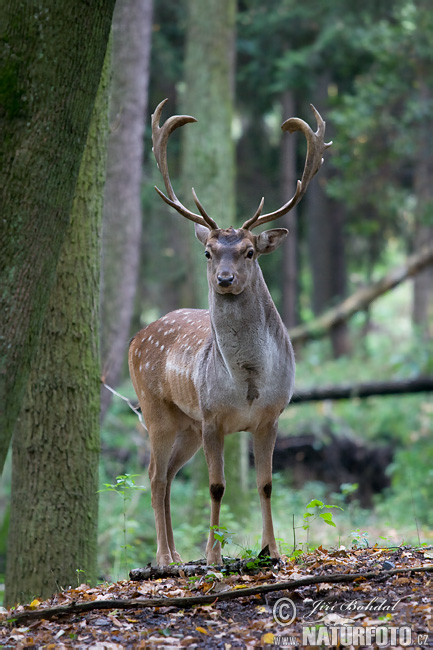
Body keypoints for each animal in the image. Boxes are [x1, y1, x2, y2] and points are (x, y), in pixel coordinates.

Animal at [128, 97, 330, 560]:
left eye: (250, 251)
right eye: (208, 251)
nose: (224, 279)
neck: (249, 382)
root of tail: (136, 338)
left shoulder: (271, 415)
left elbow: (267, 484)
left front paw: (270, 551)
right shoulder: (212, 416)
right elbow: (217, 487)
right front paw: (213, 556)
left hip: (185, 426)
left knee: (167, 475)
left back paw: (176, 555)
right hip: (157, 410)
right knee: (154, 474)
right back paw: (165, 556)